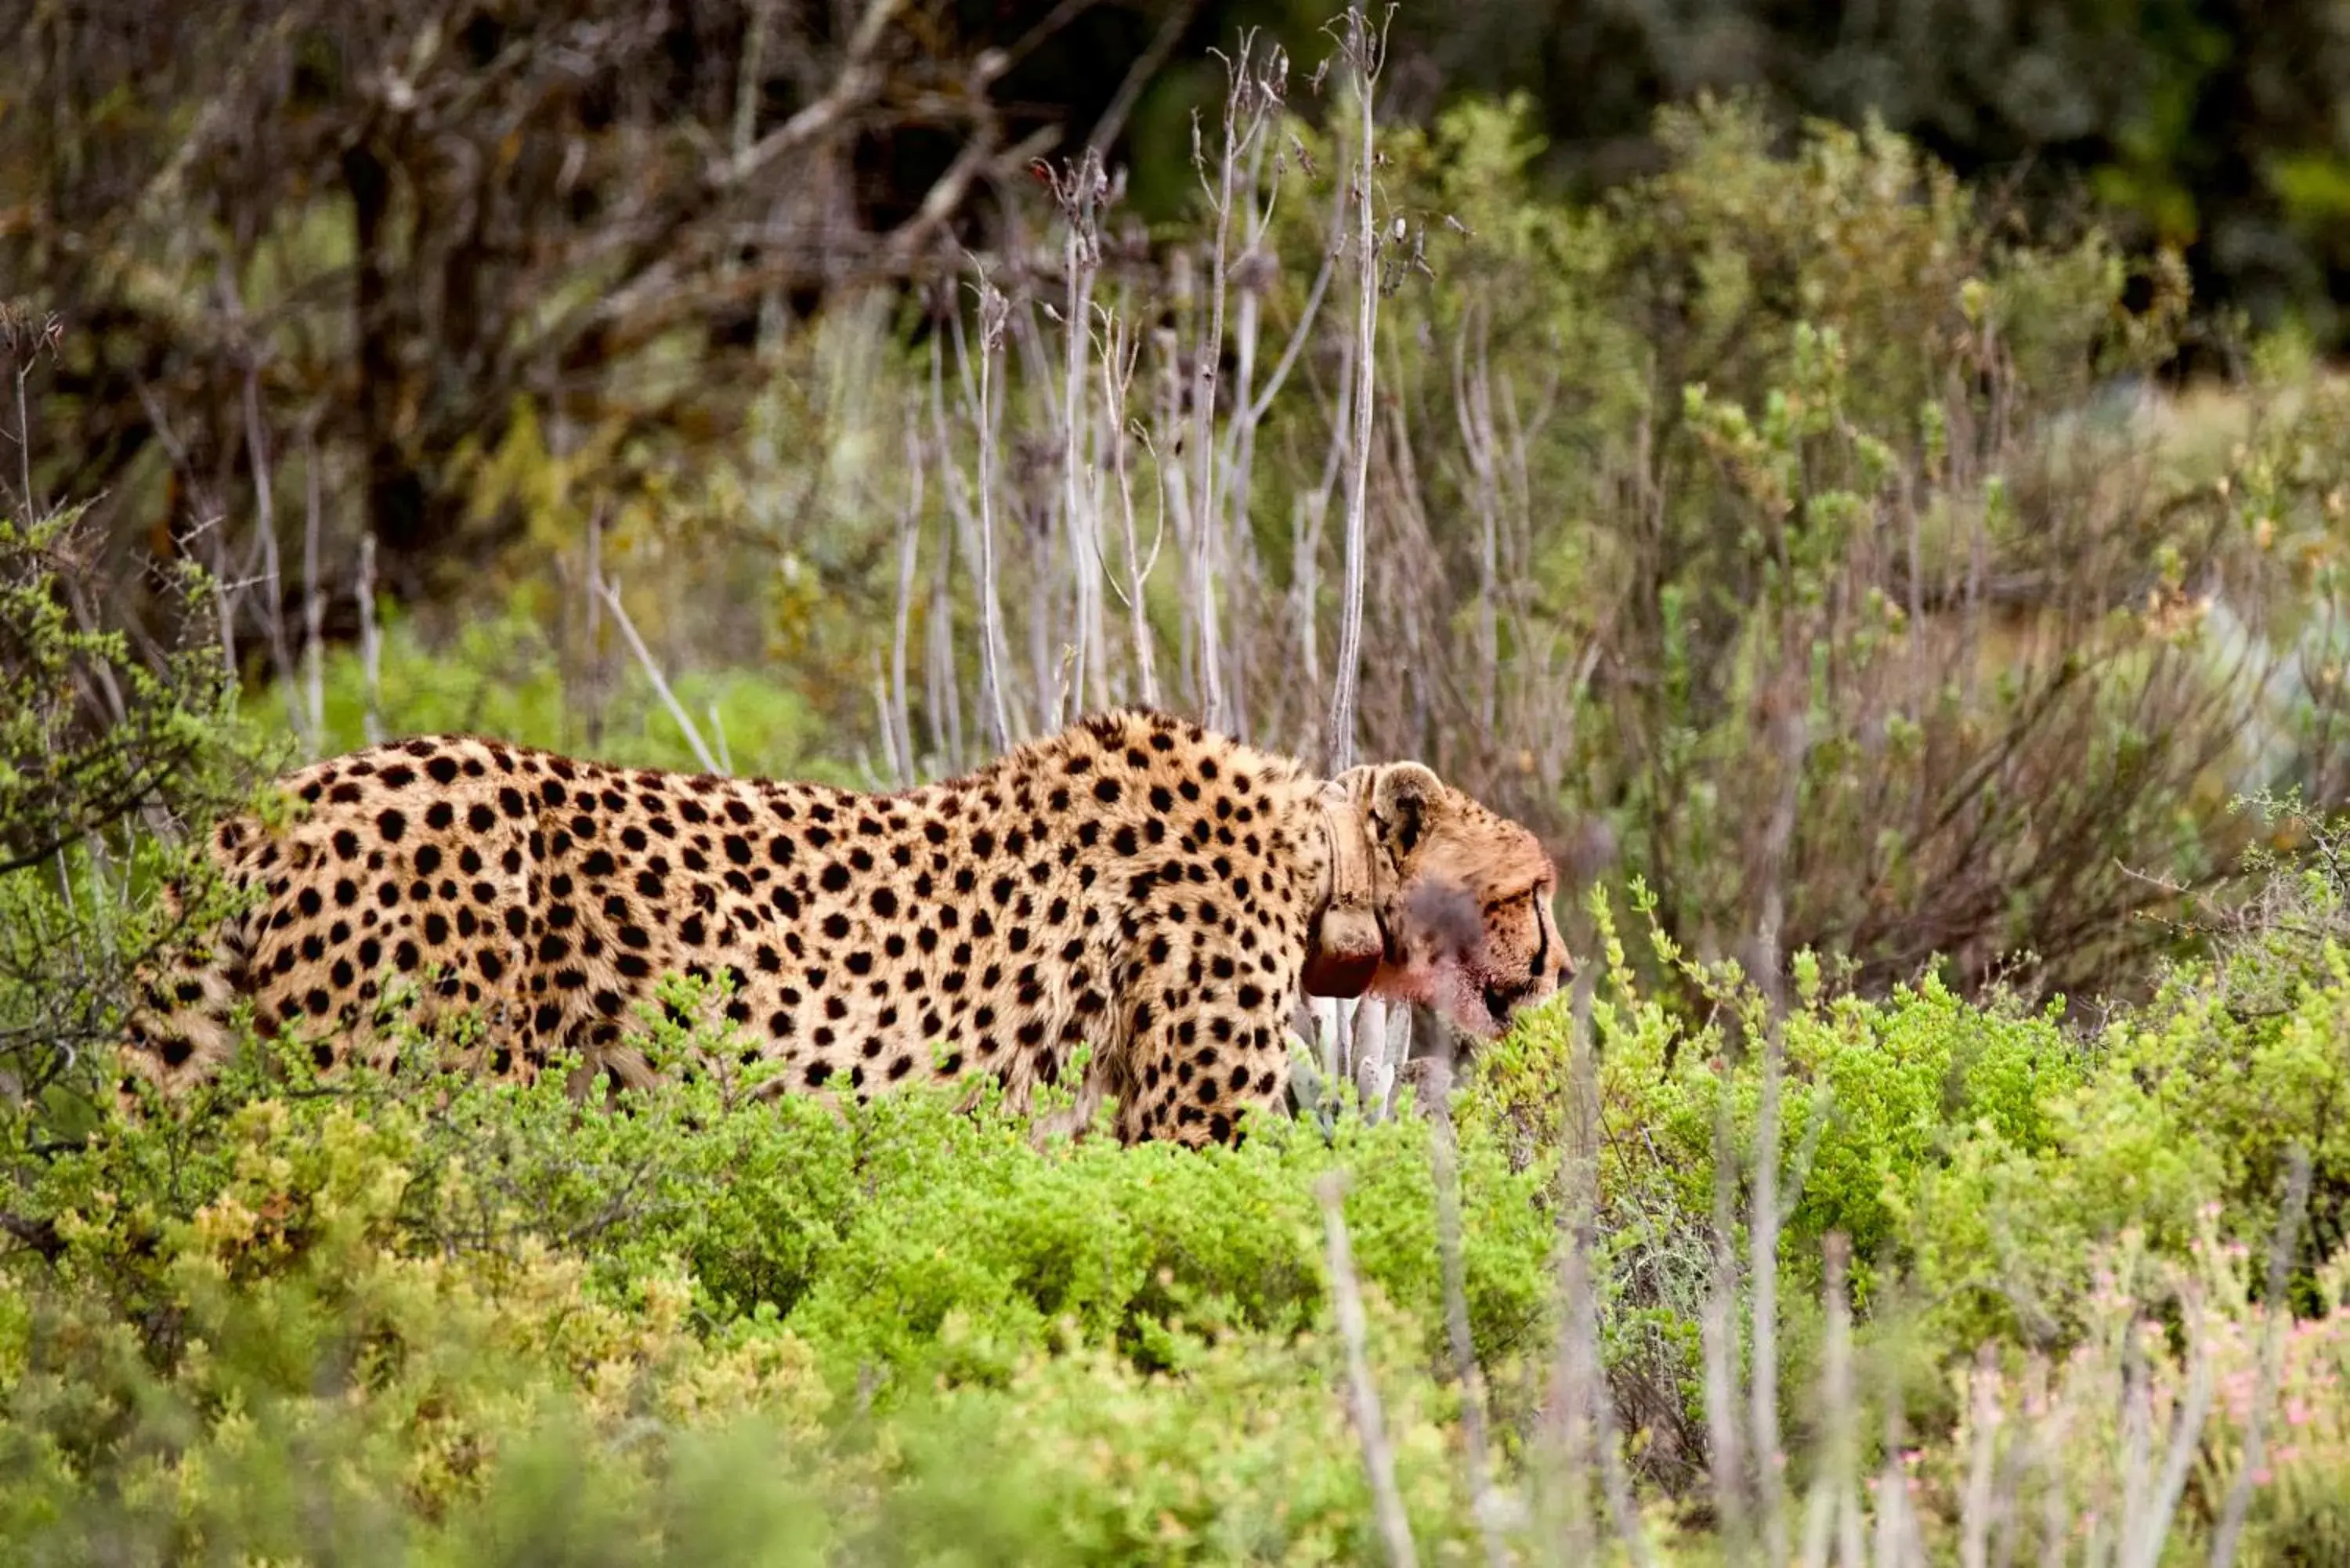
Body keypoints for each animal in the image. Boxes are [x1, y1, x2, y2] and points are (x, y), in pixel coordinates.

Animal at [124, 719, 1560, 1147]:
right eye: (1530, 888)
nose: (1559, 962)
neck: (1319, 867)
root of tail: (282, 795)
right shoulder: (1197, 1131)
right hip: (416, 1095)